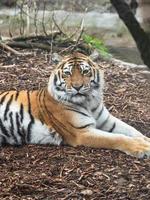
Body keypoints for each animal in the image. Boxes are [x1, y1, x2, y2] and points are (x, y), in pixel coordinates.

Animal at [0, 51, 150, 158]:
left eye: (85, 71)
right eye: (67, 73)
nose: (77, 87)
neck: (89, 102)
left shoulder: (107, 120)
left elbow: (133, 130)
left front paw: (146, 140)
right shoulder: (82, 132)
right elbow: (116, 138)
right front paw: (142, 147)